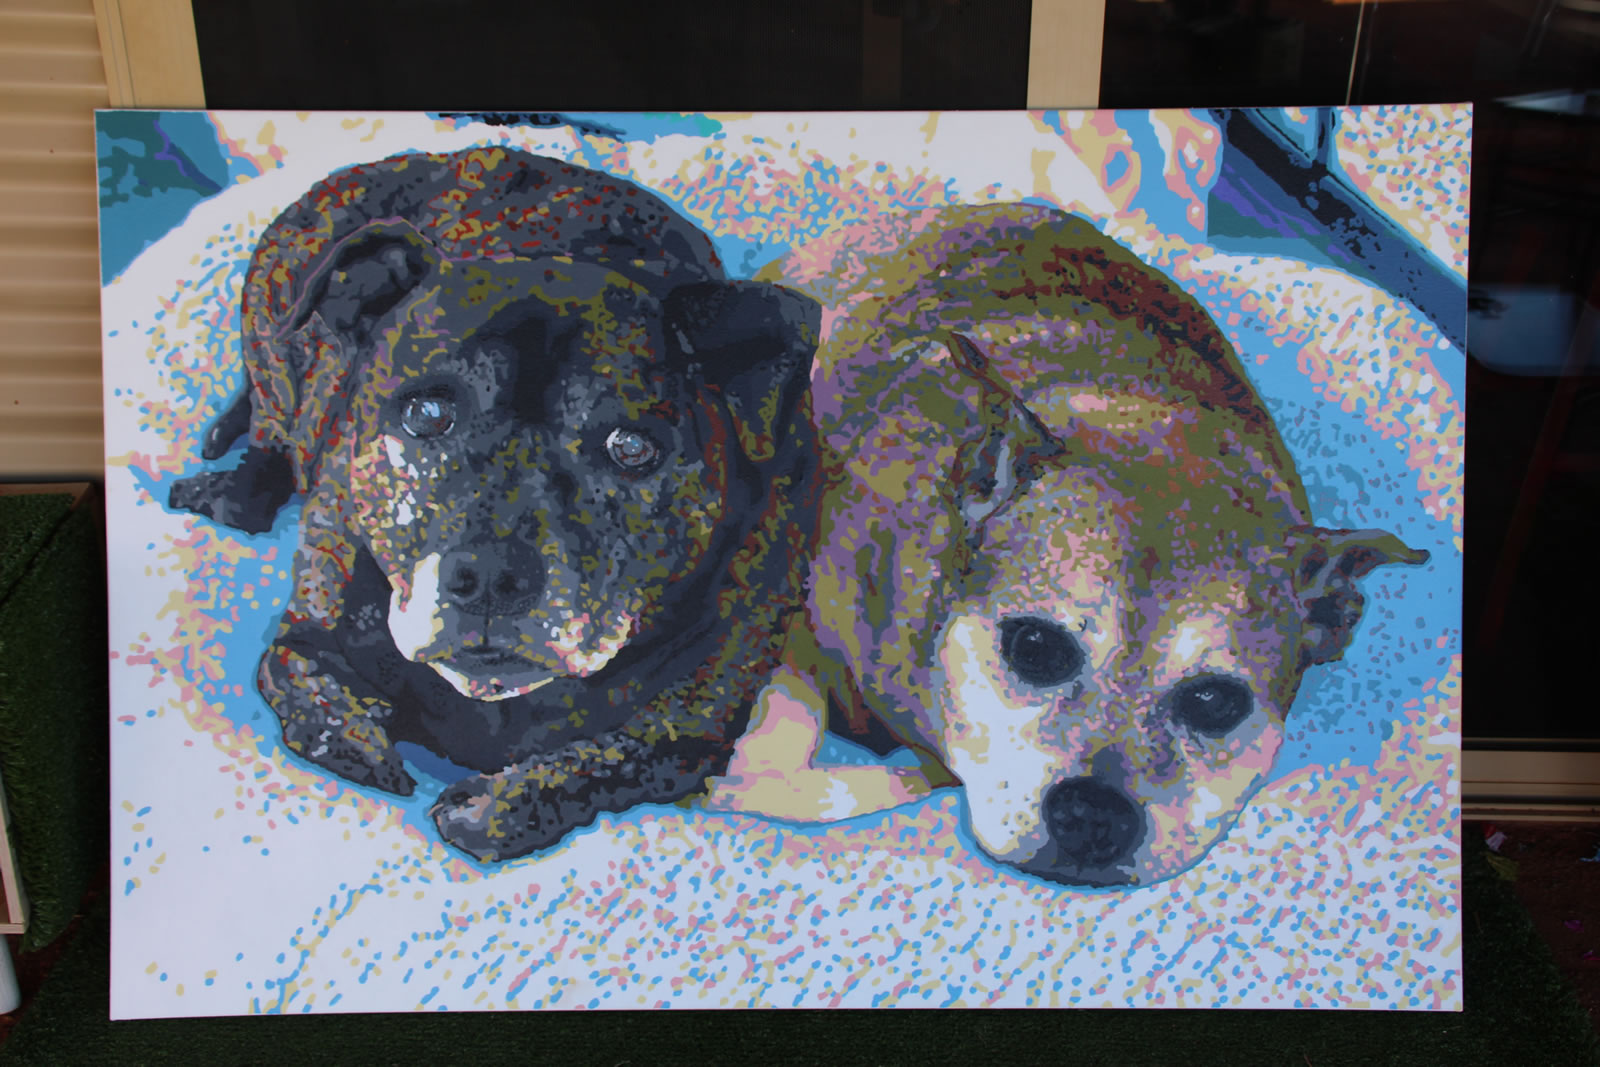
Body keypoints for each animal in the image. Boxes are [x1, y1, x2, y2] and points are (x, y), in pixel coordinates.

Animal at [168, 147, 822, 862]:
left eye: (631, 448)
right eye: (427, 414)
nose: (488, 577)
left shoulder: (684, 742)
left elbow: (599, 765)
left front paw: (496, 807)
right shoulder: (303, 636)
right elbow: (301, 684)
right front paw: (360, 741)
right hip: (275, 309)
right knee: (269, 421)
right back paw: (232, 489)